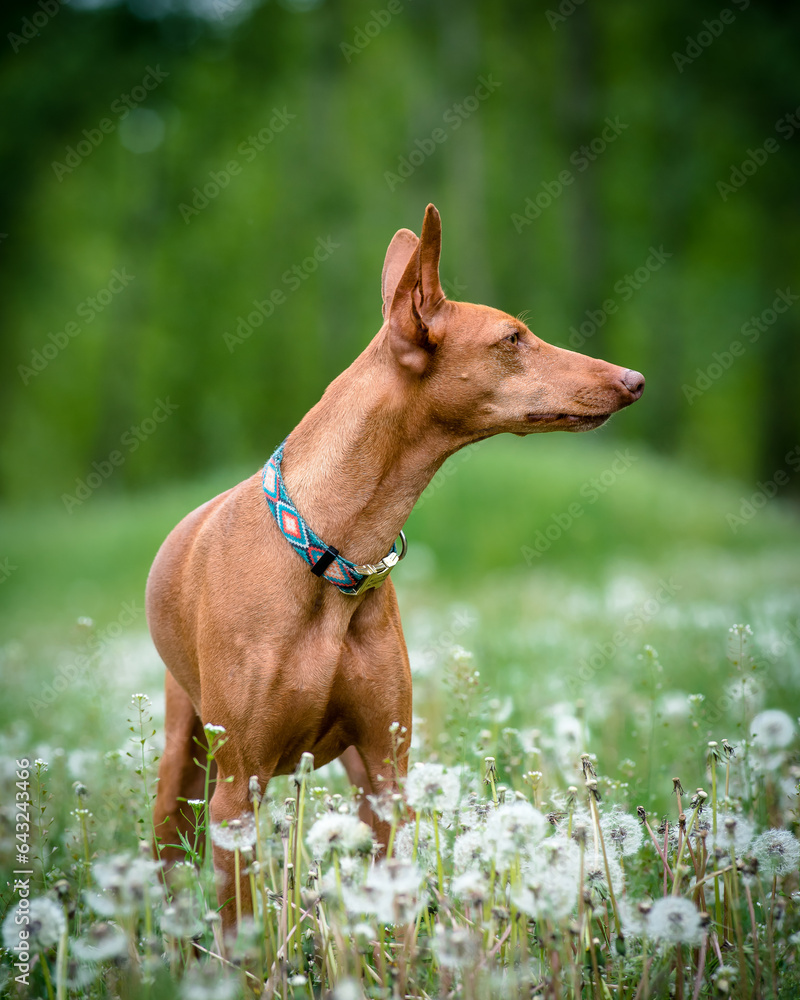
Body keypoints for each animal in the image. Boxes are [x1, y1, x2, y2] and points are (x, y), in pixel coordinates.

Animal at [144, 205, 644, 928]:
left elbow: (398, 918)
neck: (330, 556)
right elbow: (244, 936)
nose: (633, 380)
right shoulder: (238, 793)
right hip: (185, 772)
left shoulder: (387, 772)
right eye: (513, 337)